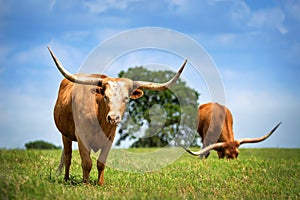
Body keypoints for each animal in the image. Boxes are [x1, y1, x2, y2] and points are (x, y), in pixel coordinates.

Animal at [47, 46, 186, 184]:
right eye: (105, 96)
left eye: (126, 98)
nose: (113, 118)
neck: (99, 115)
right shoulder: (82, 137)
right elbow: (87, 163)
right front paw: (86, 184)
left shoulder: (110, 138)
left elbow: (101, 163)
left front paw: (100, 184)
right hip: (65, 135)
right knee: (68, 157)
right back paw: (66, 179)